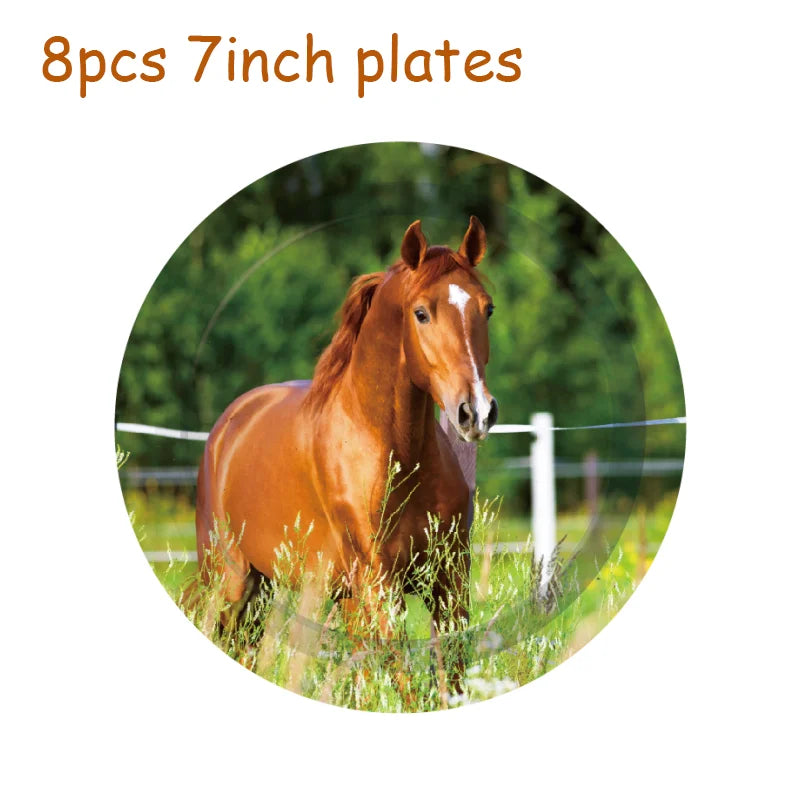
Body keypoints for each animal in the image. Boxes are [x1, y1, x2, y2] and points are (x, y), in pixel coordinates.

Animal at [193, 216, 498, 662]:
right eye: (421, 313)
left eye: (487, 308)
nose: (475, 411)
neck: (397, 455)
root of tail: (228, 426)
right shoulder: (379, 585)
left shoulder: (449, 582)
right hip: (229, 582)